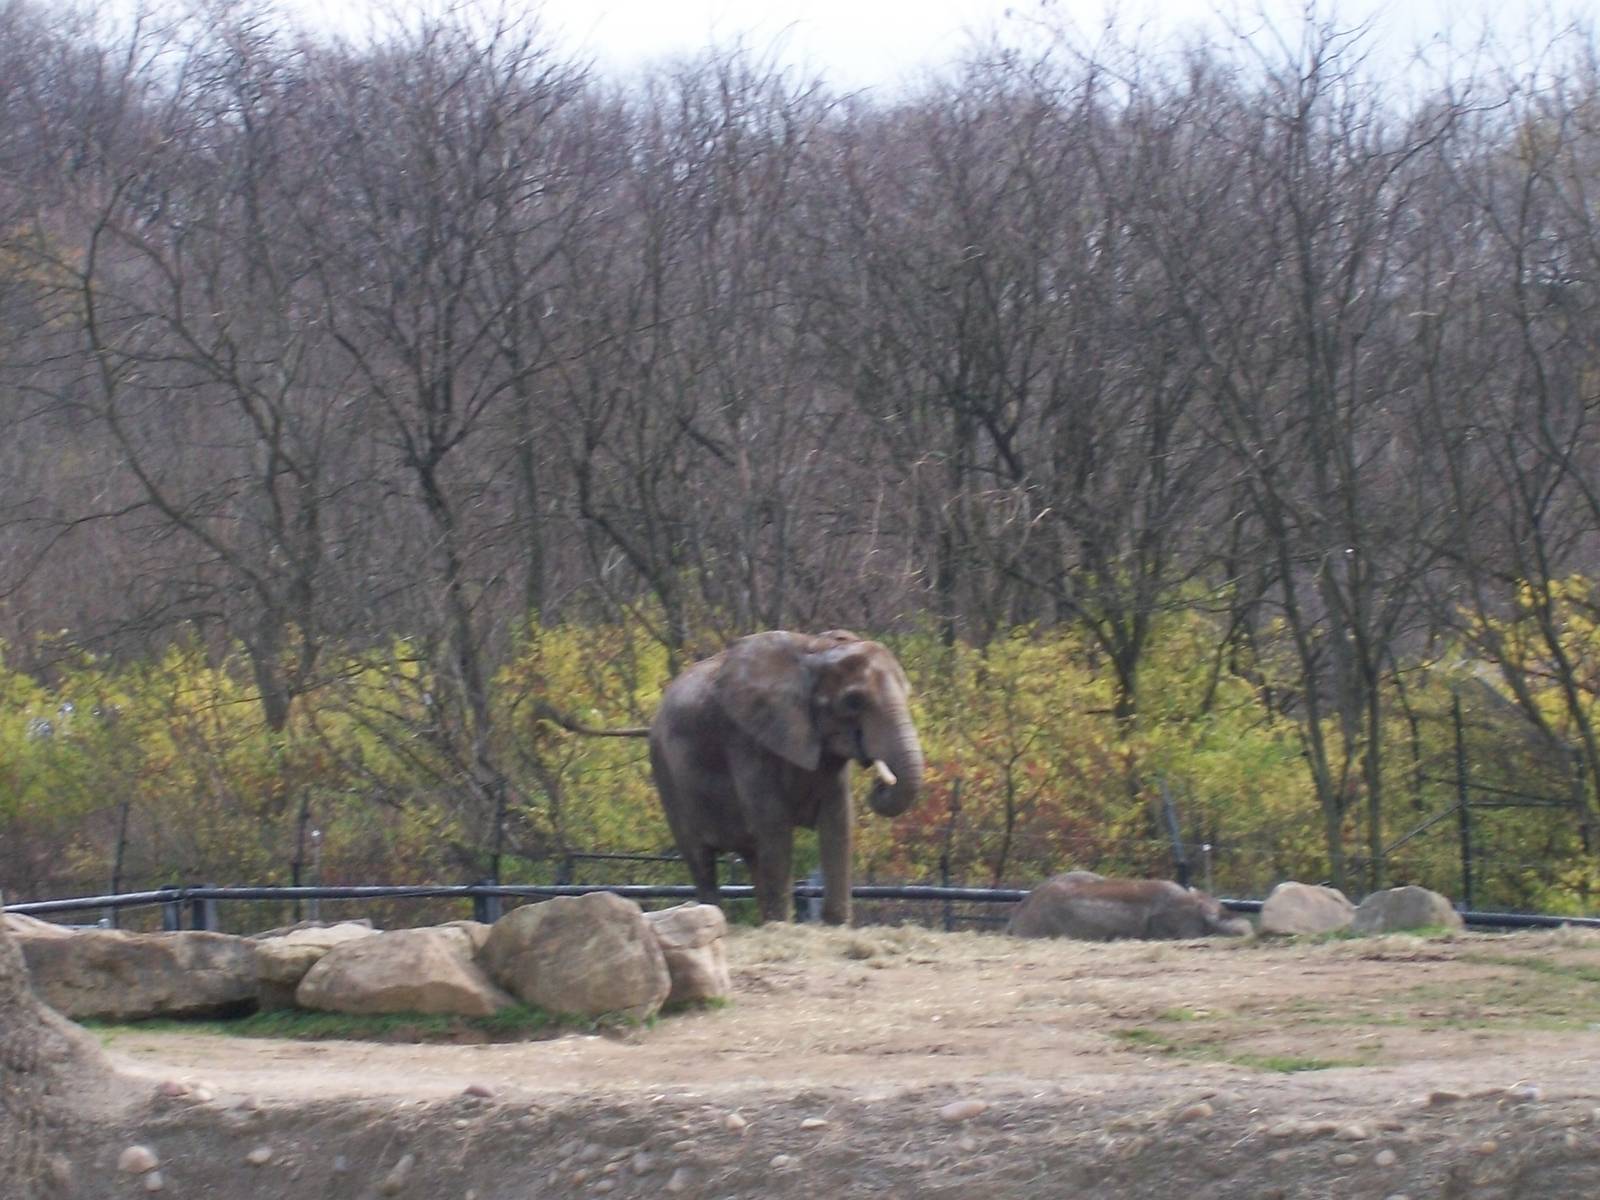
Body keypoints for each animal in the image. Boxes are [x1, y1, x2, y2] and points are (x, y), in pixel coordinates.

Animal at [649, 630, 924, 925]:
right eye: (853, 701)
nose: (879, 782)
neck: (817, 650)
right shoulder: (746, 739)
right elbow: (774, 822)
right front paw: (784, 923)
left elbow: (838, 821)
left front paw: (836, 923)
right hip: (666, 775)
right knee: (702, 860)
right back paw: (716, 913)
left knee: (753, 855)